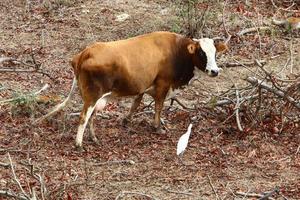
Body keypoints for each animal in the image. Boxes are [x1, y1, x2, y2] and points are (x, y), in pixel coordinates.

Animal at [35, 31, 225, 149]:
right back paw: (79, 144)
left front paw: (127, 120)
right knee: (83, 117)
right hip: (92, 95)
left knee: (92, 117)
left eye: (215, 53)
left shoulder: (143, 86)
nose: (215, 71)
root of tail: (85, 52)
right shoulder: (163, 85)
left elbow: (136, 103)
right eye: (202, 53)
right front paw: (157, 127)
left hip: (96, 98)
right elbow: (158, 107)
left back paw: (94, 138)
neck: (176, 51)